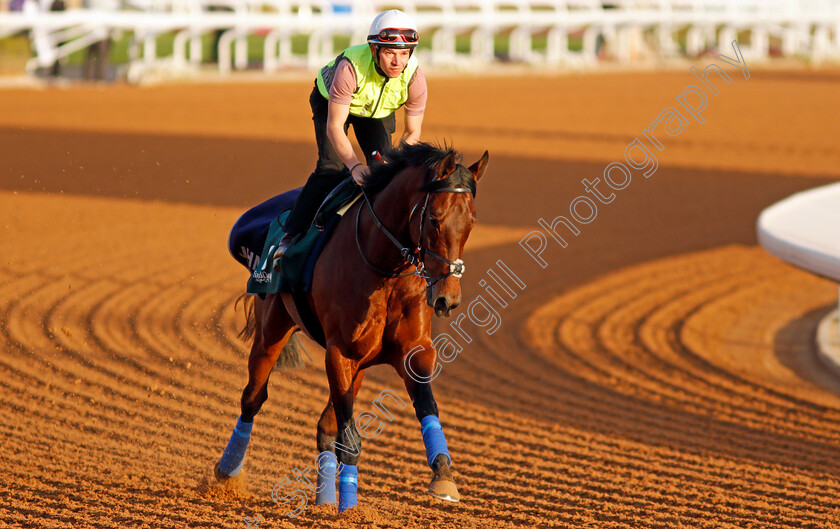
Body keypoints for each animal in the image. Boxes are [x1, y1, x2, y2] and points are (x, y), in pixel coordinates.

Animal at [217, 142, 488, 512]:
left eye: (471, 222)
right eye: (434, 219)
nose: (448, 298)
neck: (384, 266)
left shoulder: (413, 350)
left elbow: (426, 406)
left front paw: (443, 475)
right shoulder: (340, 352)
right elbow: (350, 438)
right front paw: (348, 507)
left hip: (356, 368)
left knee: (324, 426)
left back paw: (324, 499)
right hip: (272, 328)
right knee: (252, 398)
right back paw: (228, 469)